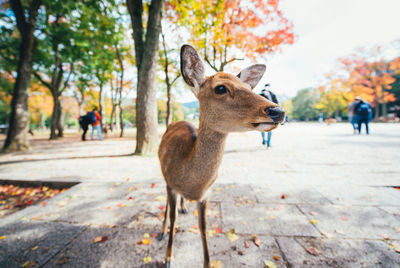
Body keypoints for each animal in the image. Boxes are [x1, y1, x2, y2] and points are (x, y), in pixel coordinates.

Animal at [156, 45, 284, 266]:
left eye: (249, 87)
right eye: (221, 88)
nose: (278, 111)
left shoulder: (206, 194)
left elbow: (204, 227)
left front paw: (207, 263)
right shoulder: (171, 184)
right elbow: (173, 220)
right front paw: (168, 258)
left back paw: (183, 207)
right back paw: (163, 230)